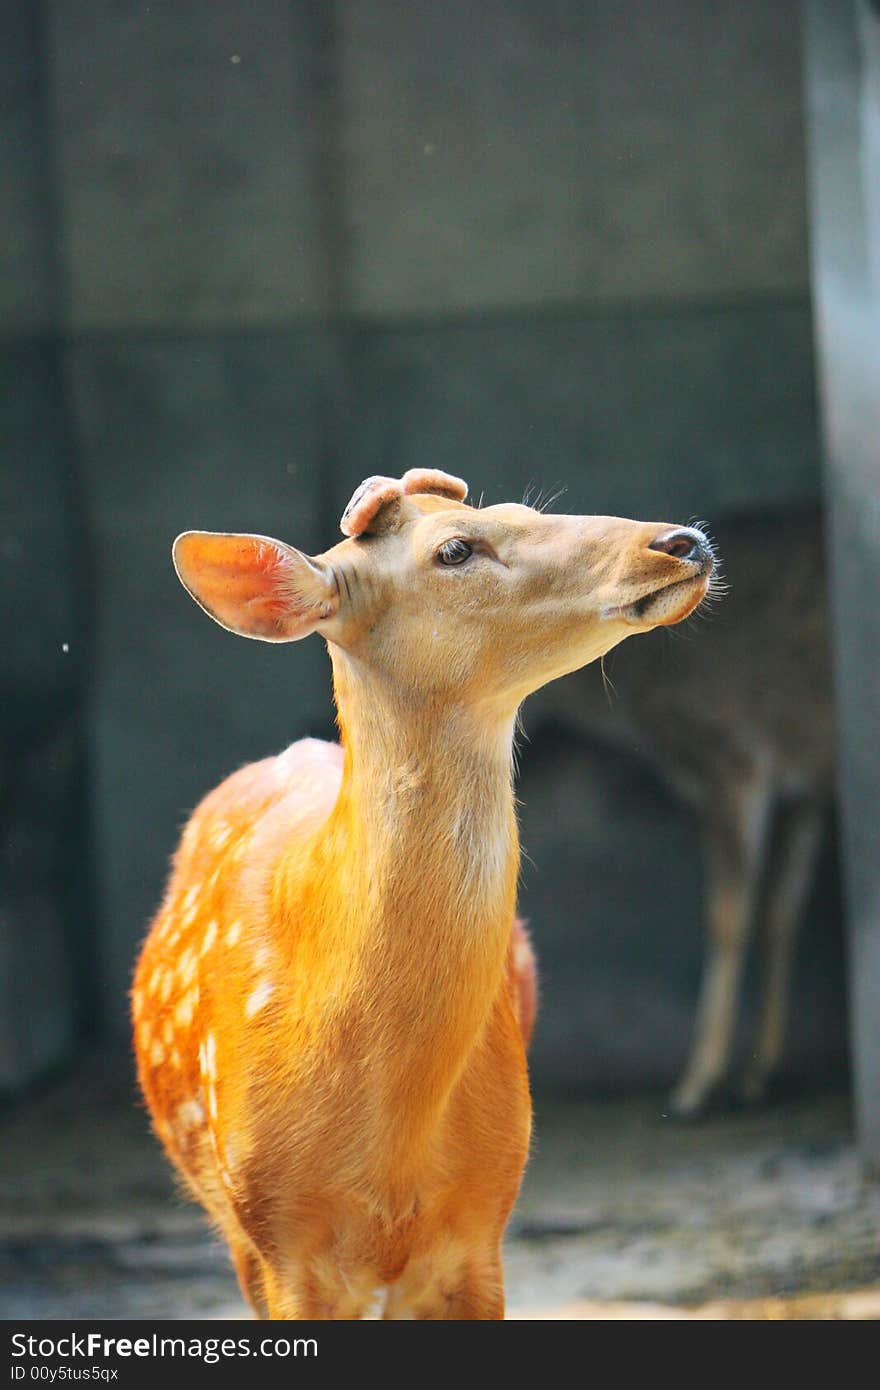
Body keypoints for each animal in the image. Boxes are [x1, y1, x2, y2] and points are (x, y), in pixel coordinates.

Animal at [525, 508, 834, 1117]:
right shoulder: (801, 782)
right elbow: (781, 913)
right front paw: (760, 1074)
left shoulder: (734, 754)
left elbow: (728, 916)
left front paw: (698, 1084)